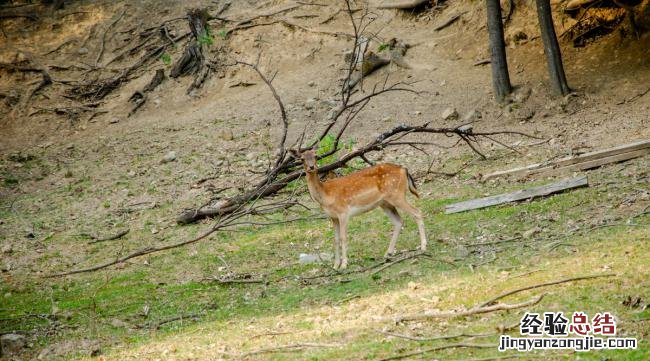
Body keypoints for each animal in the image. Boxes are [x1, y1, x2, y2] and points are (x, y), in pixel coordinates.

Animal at [288, 148, 426, 268]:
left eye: (316, 156)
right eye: (302, 159)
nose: (312, 167)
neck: (326, 195)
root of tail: (404, 169)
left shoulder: (343, 212)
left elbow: (343, 237)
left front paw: (344, 264)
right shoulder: (332, 217)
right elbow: (335, 239)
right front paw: (335, 266)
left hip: (397, 195)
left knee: (417, 212)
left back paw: (423, 247)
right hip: (385, 203)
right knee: (399, 221)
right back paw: (388, 254)